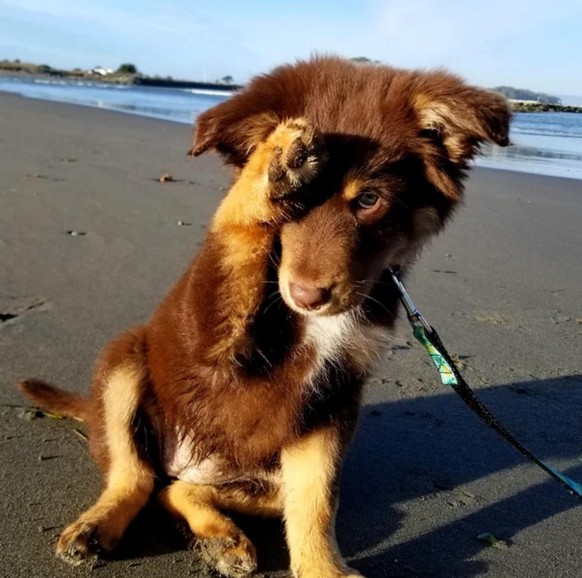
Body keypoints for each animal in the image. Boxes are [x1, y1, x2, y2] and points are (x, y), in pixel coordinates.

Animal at [18, 55, 512, 576]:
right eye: (298, 205)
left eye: (369, 200)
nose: (307, 296)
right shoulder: (208, 332)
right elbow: (233, 230)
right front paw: (276, 161)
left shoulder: (330, 402)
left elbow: (318, 500)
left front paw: (322, 569)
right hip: (125, 360)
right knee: (135, 476)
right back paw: (98, 526)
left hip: (265, 473)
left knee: (178, 490)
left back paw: (221, 538)